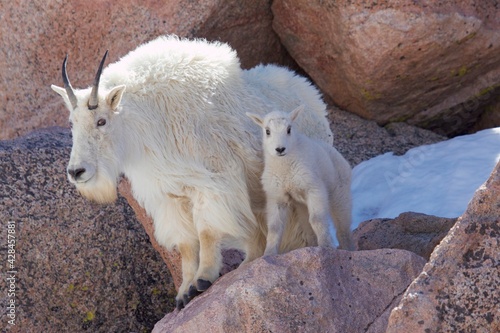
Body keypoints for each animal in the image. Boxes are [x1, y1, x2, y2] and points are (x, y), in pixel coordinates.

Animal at [50, 34, 334, 308]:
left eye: (101, 121)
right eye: (72, 123)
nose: (76, 171)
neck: (147, 124)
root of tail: (312, 96)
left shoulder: (211, 184)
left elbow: (207, 232)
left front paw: (203, 280)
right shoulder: (170, 197)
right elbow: (186, 245)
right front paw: (184, 292)